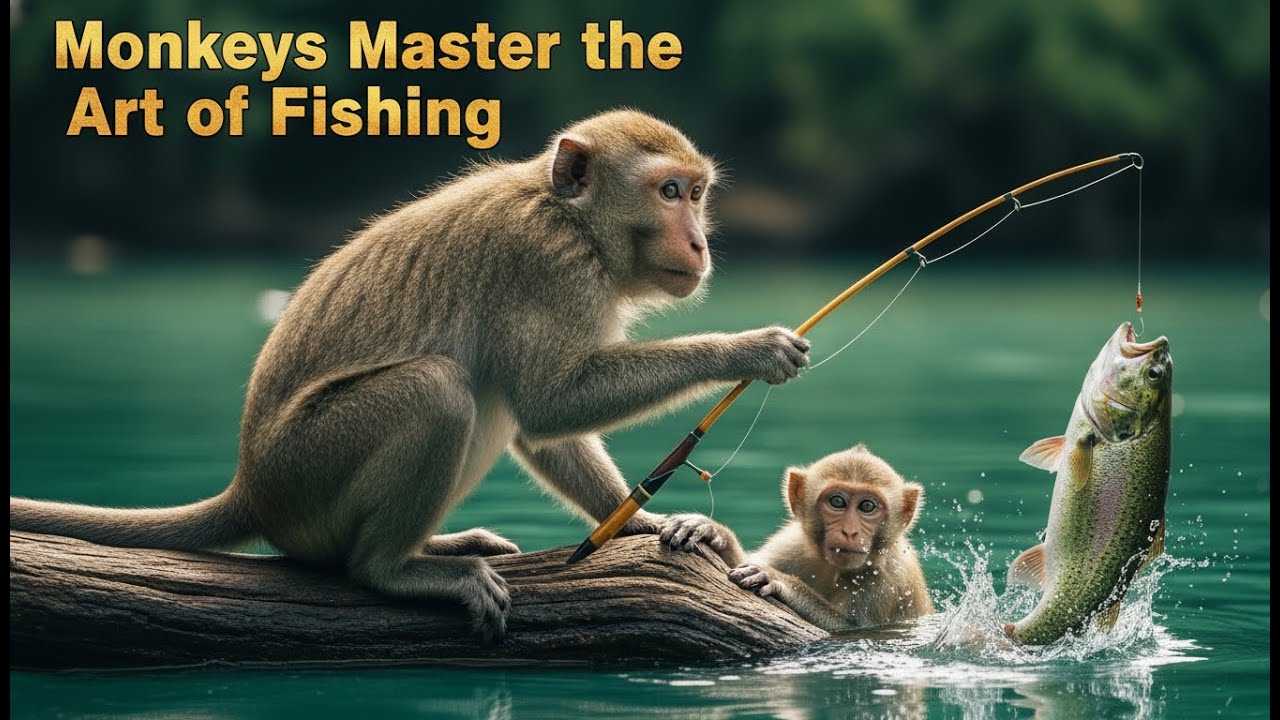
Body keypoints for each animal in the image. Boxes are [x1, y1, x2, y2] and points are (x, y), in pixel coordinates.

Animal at [10, 109, 813, 640]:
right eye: (669, 192)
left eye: (696, 194)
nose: (700, 241)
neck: (569, 217)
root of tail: (252, 485)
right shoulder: (545, 263)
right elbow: (551, 403)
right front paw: (747, 349)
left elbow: (541, 429)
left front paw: (643, 521)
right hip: (307, 473)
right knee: (441, 390)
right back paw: (394, 568)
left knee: (484, 394)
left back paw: (439, 546)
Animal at [660, 444, 933, 632]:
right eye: (837, 502)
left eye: (867, 506)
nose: (850, 532)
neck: (833, 569)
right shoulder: (791, 545)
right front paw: (714, 532)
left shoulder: (892, 577)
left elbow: (851, 629)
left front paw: (781, 581)